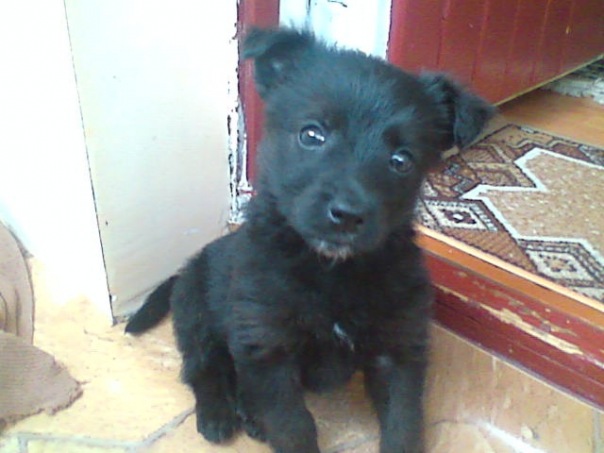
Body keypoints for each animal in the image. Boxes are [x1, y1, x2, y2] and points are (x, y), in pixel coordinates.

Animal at [125, 28, 493, 453]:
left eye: (402, 160)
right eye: (312, 134)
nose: (347, 215)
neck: (331, 272)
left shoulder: (398, 350)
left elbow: (403, 423)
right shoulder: (268, 348)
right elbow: (293, 425)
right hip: (195, 315)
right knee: (204, 368)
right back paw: (218, 413)